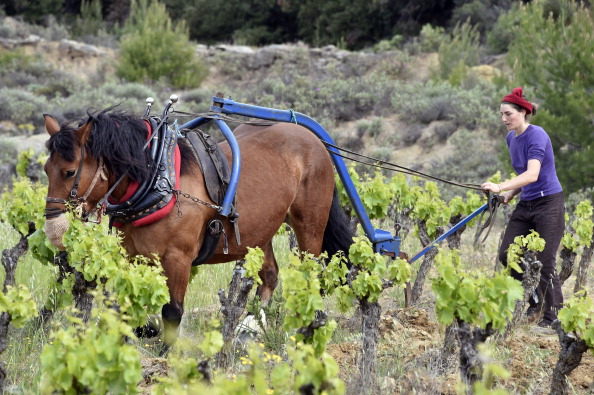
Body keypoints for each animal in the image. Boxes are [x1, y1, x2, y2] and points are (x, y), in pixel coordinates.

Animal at [44, 108, 354, 346]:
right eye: (46, 170)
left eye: (70, 172)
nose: (52, 229)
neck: (158, 179)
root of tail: (315, 141)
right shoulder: (133, 256)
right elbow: (128, 303)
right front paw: (138, 333)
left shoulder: (178, 259)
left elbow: (172, 311)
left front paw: (167, 356)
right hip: (260, 233)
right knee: (270, 275)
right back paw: (249, 328)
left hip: (309, 227)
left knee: (310, 275)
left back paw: (304, 326)